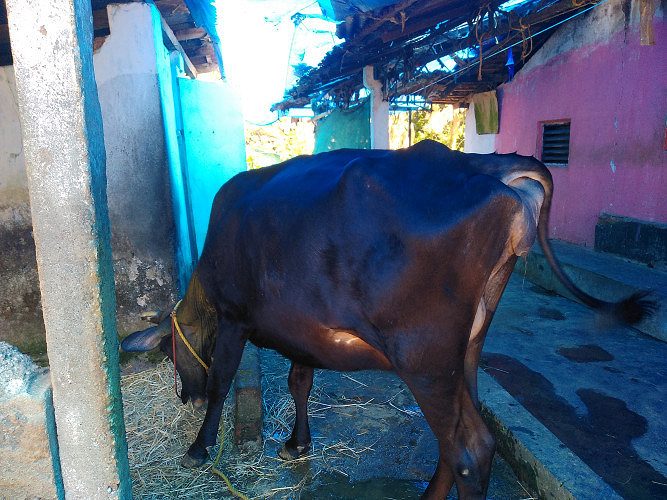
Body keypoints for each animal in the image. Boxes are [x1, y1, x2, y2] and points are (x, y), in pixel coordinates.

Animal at [121, 140, 655, 499]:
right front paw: (297, 444)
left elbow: (223, 381)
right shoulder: (303, 332)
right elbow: (299, 382)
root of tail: (487, 163)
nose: (183, 396)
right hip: (464, 350)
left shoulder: (234, 318)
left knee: (470, 448)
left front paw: (199, 447)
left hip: (424, 355)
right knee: (458, 438)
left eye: (171, 351)